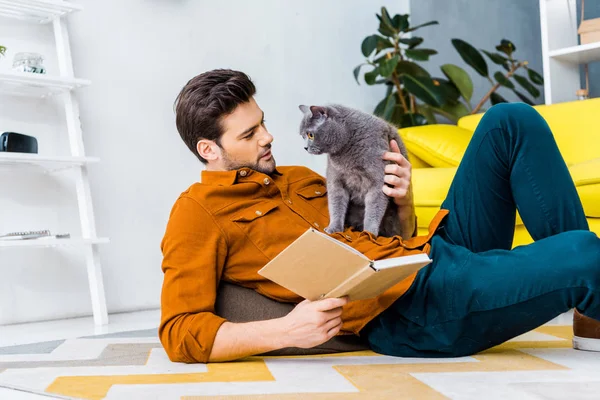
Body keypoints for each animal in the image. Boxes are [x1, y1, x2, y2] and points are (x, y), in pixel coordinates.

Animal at [298, 104, 410, 239]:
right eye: (303, 136)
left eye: (310, 135)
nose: (305, 147)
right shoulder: (336, 179)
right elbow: (336, 204)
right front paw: (333, 228)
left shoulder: (378, 181)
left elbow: (374, 208)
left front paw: (369, 233)